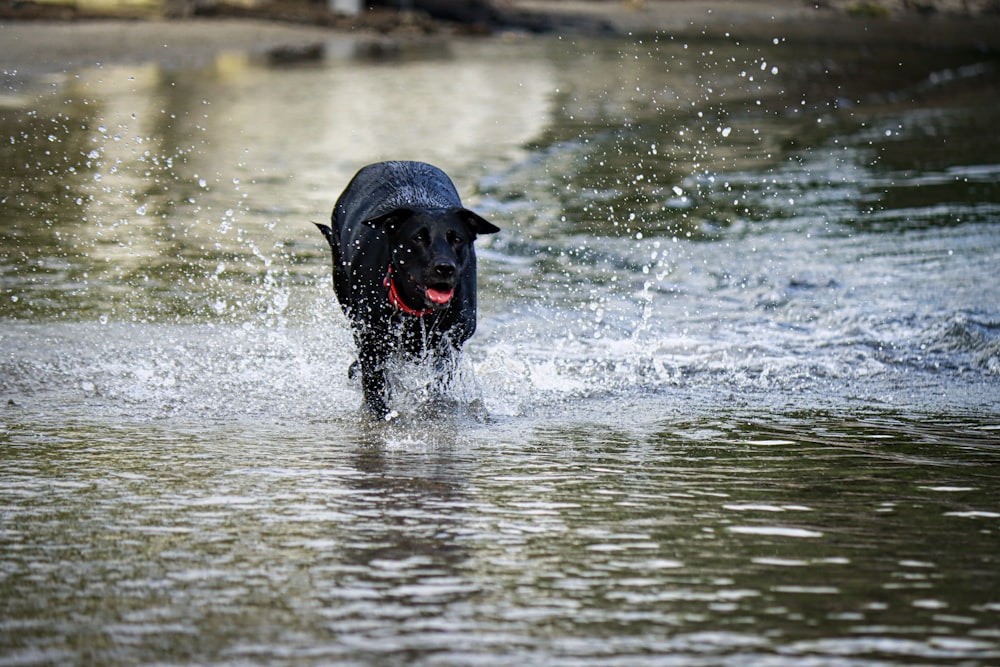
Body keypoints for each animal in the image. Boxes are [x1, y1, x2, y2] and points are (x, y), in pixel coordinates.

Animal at [314, 161, 498, 418]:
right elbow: (375, 384)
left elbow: (438, 379)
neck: (415, 307)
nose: (444, 267)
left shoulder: (451, 341)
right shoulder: (372, 336)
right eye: (418, 238)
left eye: (457, 238)